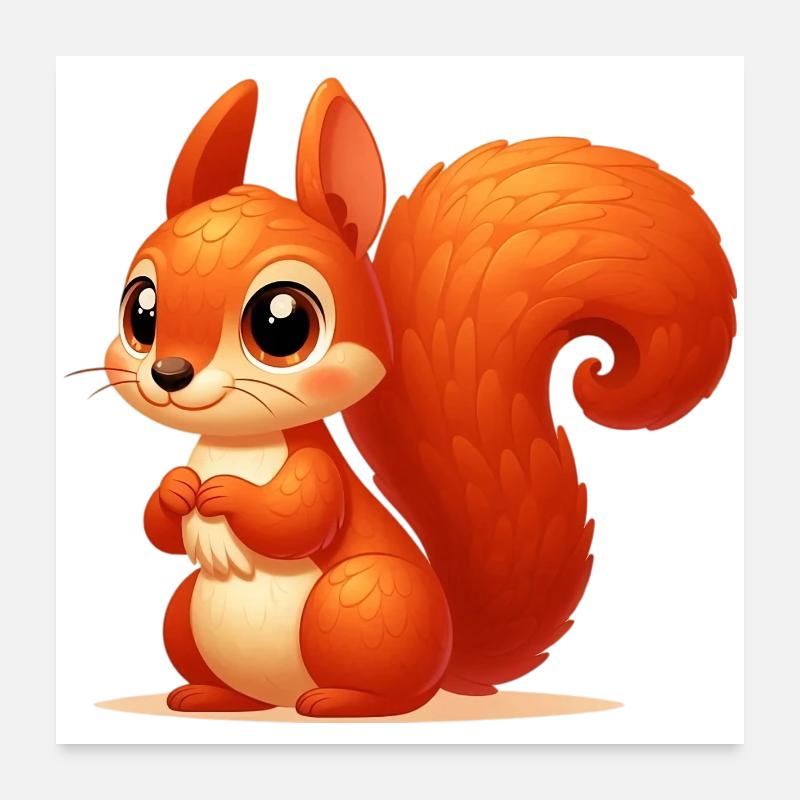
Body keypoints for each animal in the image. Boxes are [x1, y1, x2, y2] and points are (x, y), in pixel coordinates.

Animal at [101, 78, 736, 717]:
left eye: (283, 323)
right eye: (141, 310)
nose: (170, 374)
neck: (239, 443)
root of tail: (446, 660)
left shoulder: (317, 471)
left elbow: (299, 519)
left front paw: (223, 495)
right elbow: (159, 531)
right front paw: (177, 490)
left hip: (363, 597)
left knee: (392, 692)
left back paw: (340, 702)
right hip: (188, 615)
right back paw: (211, 695)